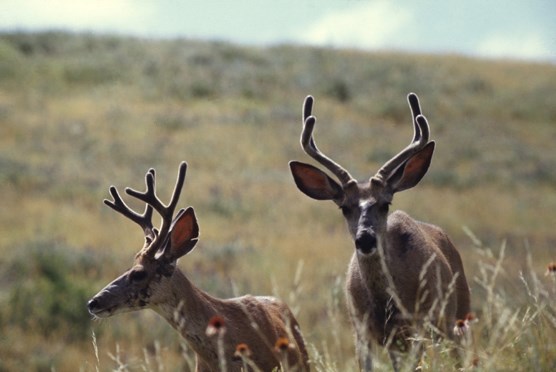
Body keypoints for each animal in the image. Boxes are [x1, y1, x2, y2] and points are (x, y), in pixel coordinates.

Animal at [288, 94, 472, 370]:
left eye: (385, 203)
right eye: (344, 207)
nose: (365, 239)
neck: (386, 306)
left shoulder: (416, 326)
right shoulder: (362, 331)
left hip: (455, 317)